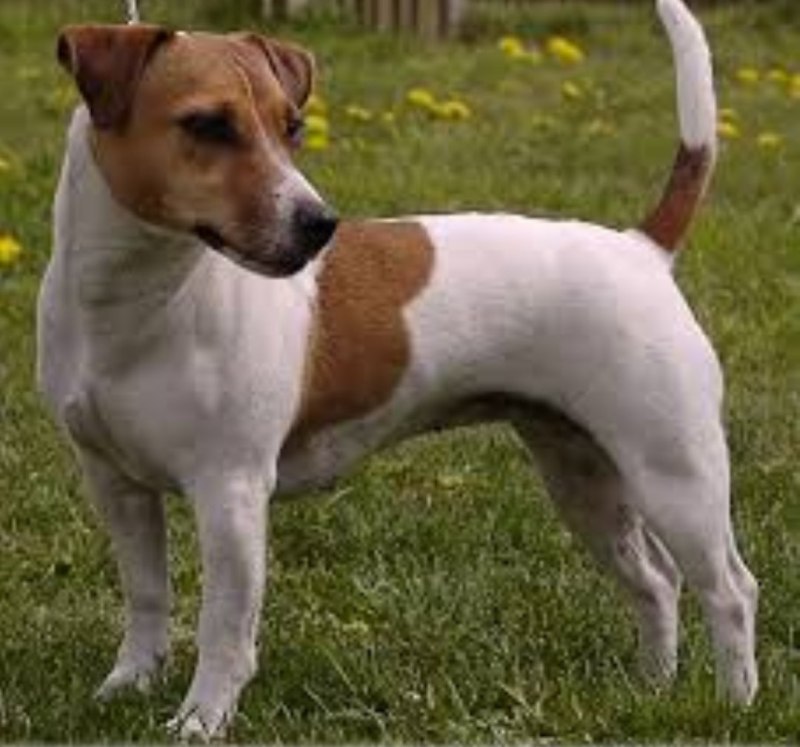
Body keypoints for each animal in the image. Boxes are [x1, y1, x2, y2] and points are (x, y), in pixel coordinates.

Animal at [38, 0, 757, 738]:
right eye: (207, 124)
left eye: (291, 127)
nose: (318, 223)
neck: (140, 306)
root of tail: (642, 249)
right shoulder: (115, 485)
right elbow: (147, 595)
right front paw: (128, 683)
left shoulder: (230, 493)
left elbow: (225, 629)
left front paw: (200, 720)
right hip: (583, 475)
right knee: (656, 580)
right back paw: (653, 688)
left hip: (675, 473)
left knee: (729, 588)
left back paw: (733, 703)